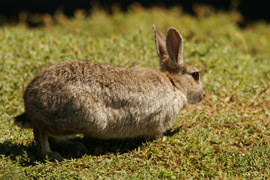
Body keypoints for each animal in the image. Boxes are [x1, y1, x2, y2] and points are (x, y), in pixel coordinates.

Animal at [14, 25, 205, 160]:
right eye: (196, 75)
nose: (203, 95)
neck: (174, 85)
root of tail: (29, 99)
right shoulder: (159, 120)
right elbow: (156, 134)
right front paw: (165, 139)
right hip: (87, 114)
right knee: (41, 131)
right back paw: (51, 154)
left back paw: (75, 146)